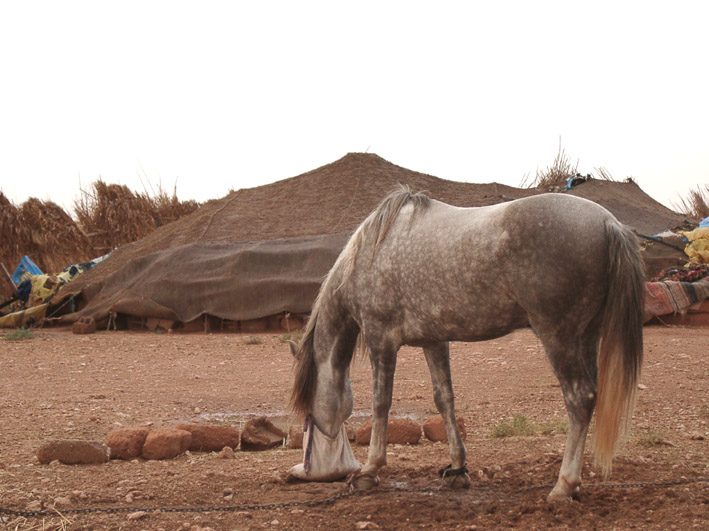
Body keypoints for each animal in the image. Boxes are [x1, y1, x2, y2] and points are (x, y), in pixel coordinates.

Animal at [288, 188, 640, 502]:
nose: (310, 471)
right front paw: (458, 469)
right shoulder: (434, 341)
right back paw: (574, 485)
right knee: (591, 396)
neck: (370, 254)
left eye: (307, 408)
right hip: (587, 337)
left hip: (558, 337)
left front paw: (369, 471)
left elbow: (380, 402)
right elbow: (444, 399)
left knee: (579, 398)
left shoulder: (380, 340)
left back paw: (563, 486)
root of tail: (608, 222)